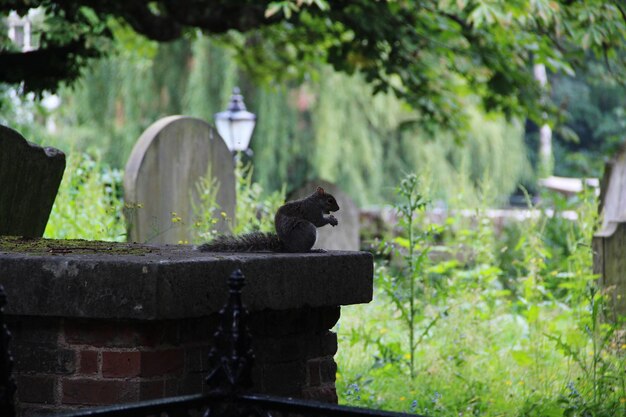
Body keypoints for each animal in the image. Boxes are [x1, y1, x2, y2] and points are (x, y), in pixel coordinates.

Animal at [197, 186, 338, 252]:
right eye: (330, 200)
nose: (338, 208)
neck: (315, 201)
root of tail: (286, 247)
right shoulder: (311, 210)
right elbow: (318, 221)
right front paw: (331, 219)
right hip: (308, 230)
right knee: (303, 250)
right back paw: (315, 250)